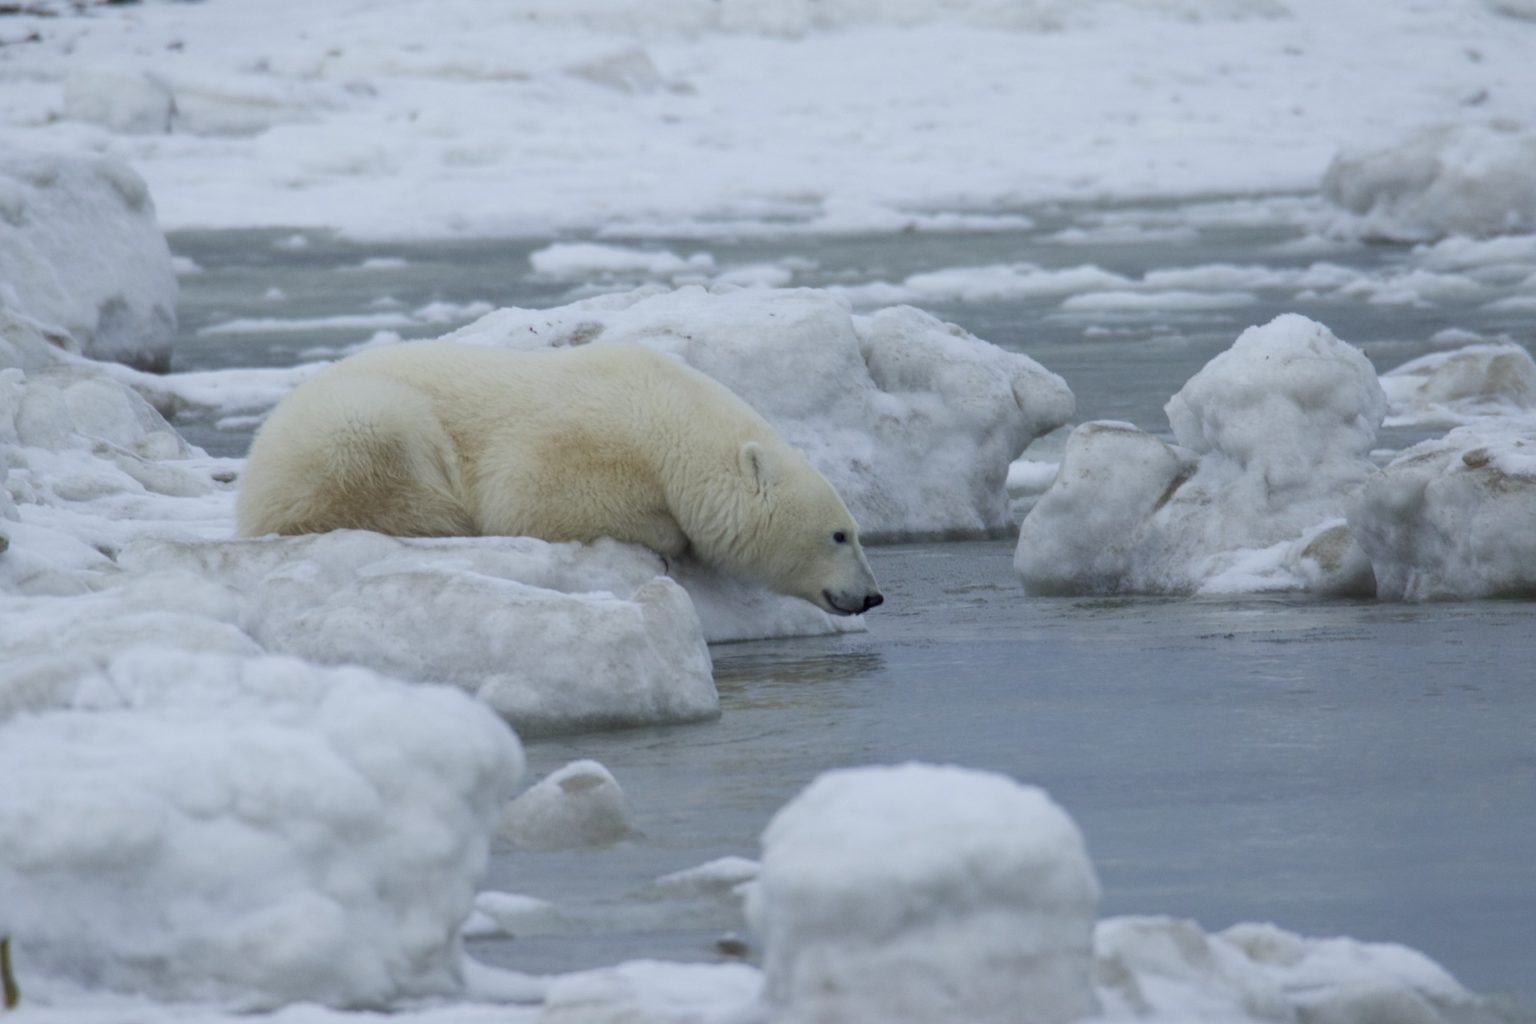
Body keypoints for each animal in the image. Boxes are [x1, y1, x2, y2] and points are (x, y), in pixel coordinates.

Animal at [233, 340, 884, 617]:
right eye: (840, 534)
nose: (873, 595)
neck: (668, 419)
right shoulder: (577, 441)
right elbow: (531, 501)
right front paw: (672, 538)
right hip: (357, 421)